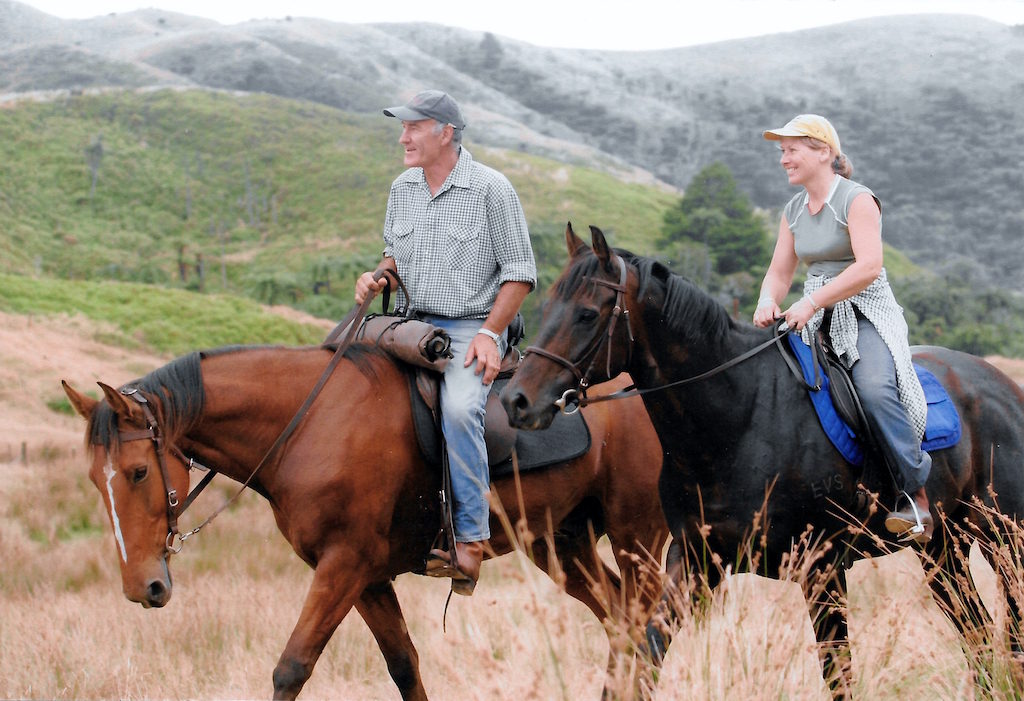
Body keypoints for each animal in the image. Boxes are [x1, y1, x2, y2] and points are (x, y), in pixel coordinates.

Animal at [64, 339, 671, 699]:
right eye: (94, 479)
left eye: (138, 472)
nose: (144, 587)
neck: (310, 422)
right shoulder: (367, 578)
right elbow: (404, 664)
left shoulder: (344, 566)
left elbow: (291, 667)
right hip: (561, 544)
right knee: (622, 625)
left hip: (636, 538)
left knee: (649, 627)